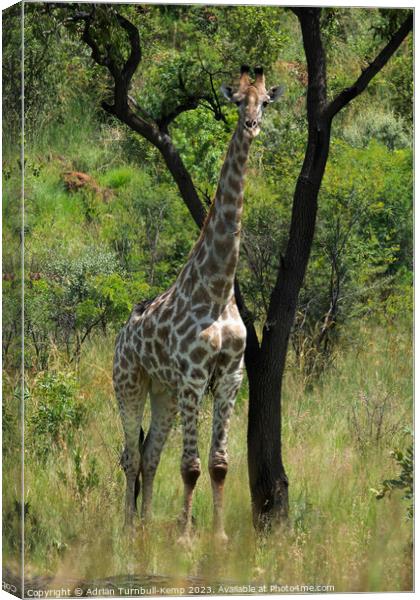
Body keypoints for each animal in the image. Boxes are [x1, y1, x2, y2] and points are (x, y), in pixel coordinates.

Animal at [111, 65, 284, 544]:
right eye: (237, 101)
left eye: (265, 101)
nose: (252, 125)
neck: (219, 290)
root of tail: (121, 335)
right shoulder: (193, 375)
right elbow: (189, 467)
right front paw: (187, 538)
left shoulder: (231, 375)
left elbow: (219, 464)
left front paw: (218, 537)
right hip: (129, 384)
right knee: (131, 455)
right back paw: (129, 528)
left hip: (164, 392)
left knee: (150, 454)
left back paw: (147, 524)